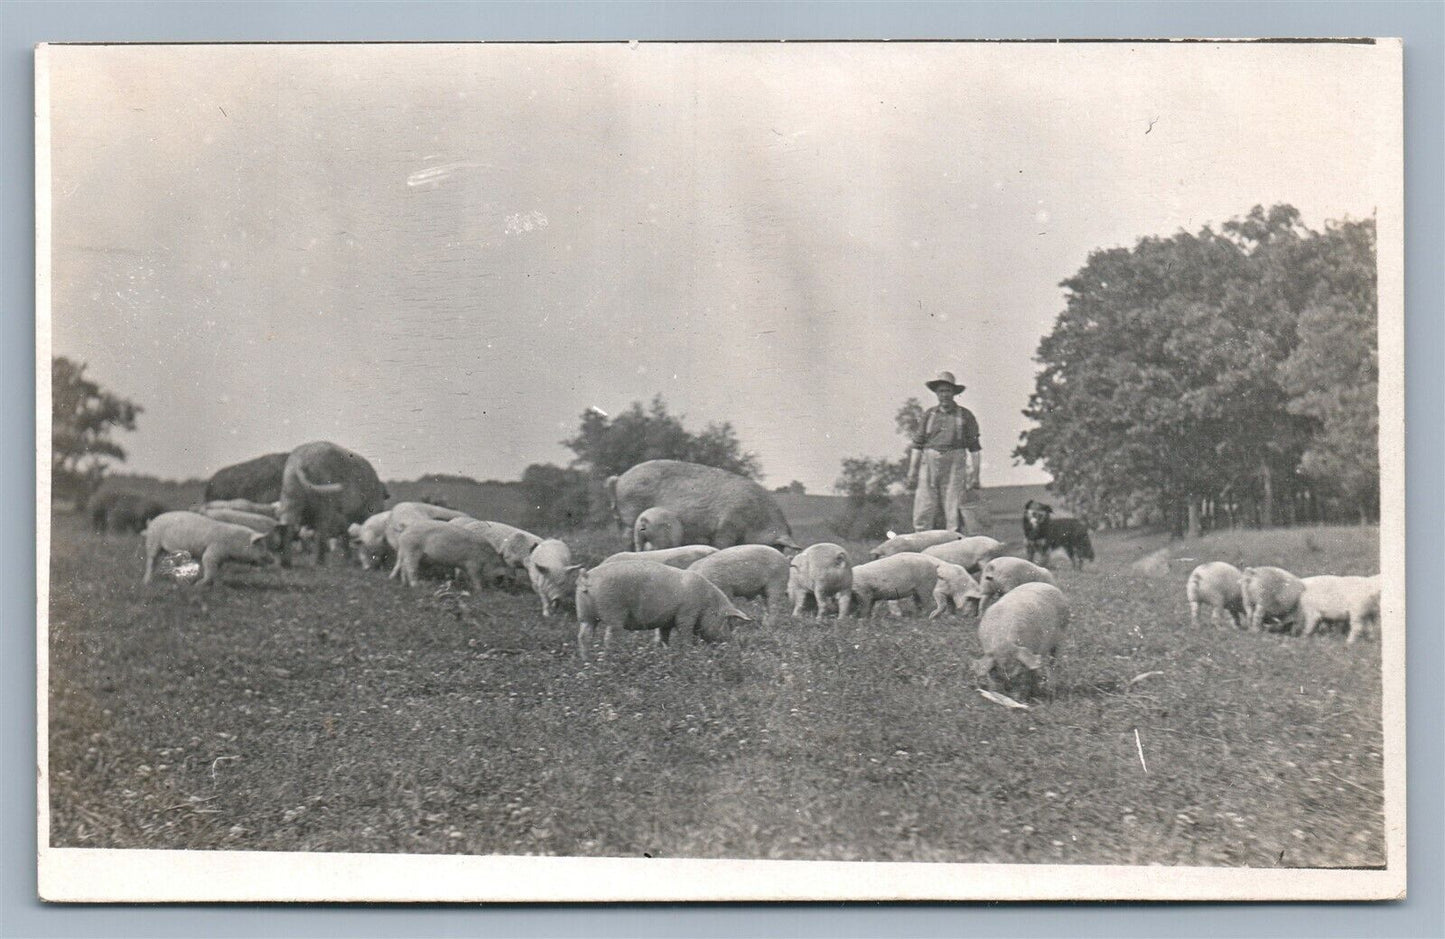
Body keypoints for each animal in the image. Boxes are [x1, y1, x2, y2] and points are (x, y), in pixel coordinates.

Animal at [142, 511, 274, 583]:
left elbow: (216, 570)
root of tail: (151, 521)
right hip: (153, 542)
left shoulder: (220, 558)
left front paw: (218, 584)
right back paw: (147, 582)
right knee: (151, 561)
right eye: (261, 546)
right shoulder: (213, 550)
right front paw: (199, 584)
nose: (273, 560)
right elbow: (207, 563)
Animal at [572, 554, 751, 658]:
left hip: (585, 614)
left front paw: (662, 653)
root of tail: (586, 576)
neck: (707, 602)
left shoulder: (666, 621)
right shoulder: (686, 614)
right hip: (613, 611)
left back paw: (587, 662)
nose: (735, 647)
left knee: (583, 637)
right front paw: (690, 652)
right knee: (609, 638)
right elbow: (686, 634)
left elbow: (662, 638)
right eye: (728, 622)